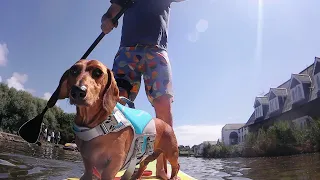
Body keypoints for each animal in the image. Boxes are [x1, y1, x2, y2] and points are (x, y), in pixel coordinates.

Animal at [53, 59, 181, 179]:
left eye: (98, 72)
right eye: (73, 70)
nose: (78, 90)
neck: (97, 125)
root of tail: (166, 124)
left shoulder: (116, 160)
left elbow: (107, 175)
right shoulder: (87, 161)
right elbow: (88, 174)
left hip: (171, 153)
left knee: (176, 166)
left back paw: (173, 177)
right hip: (147, 156)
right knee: (143, 165)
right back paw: (135, 177)